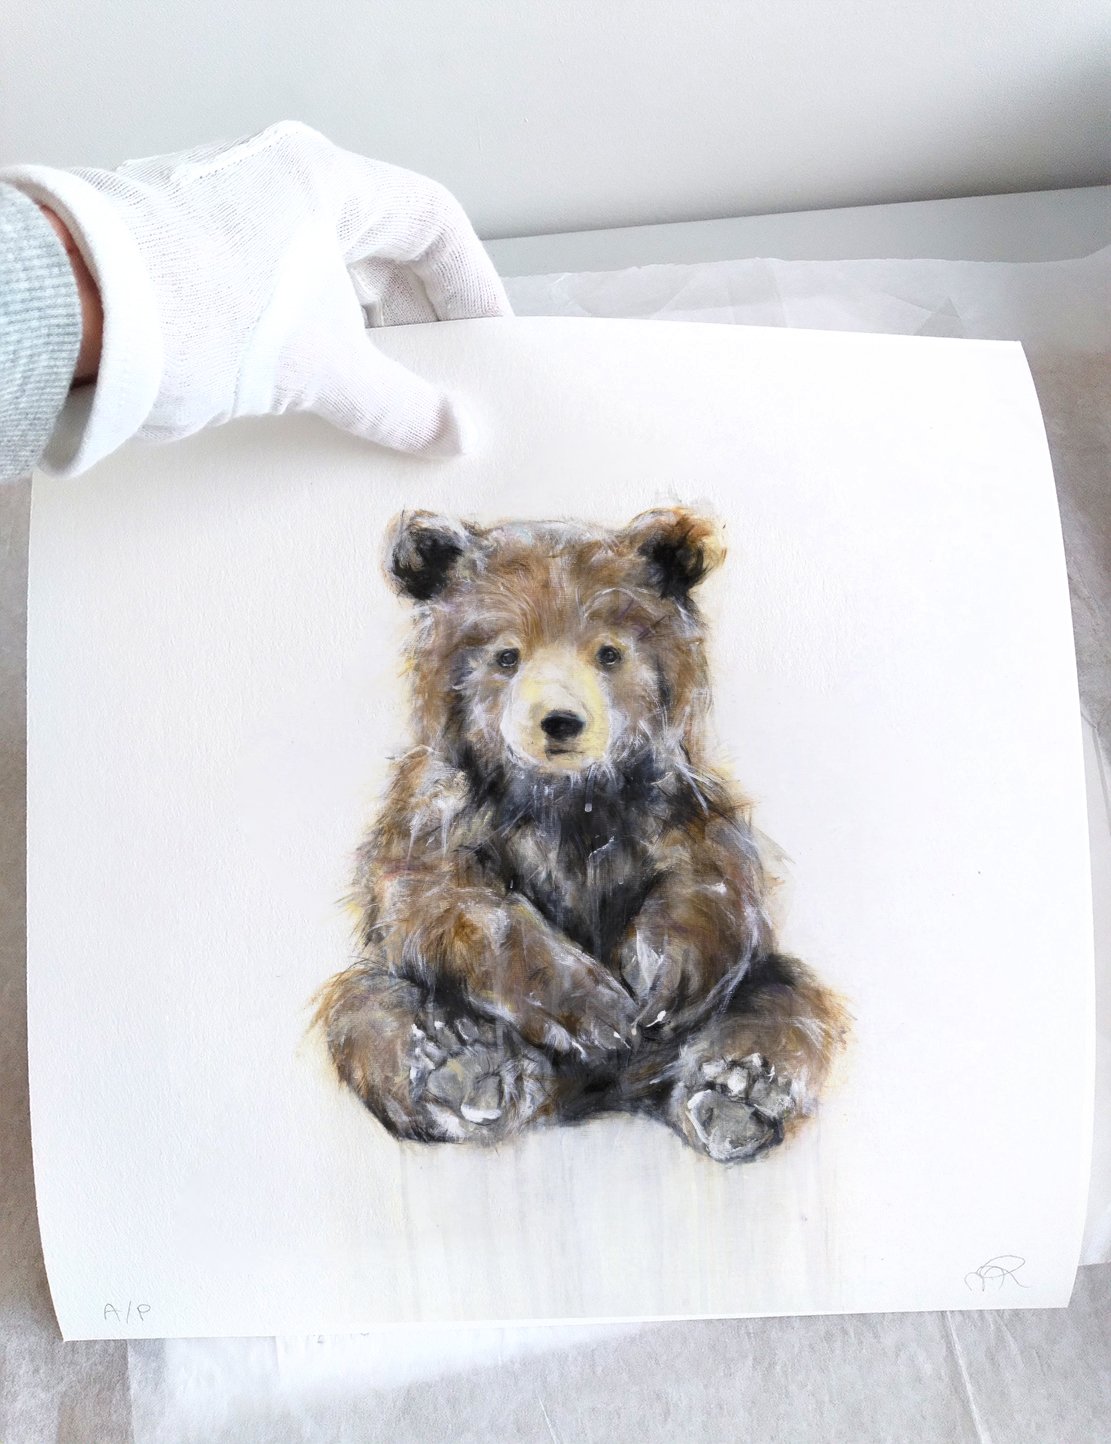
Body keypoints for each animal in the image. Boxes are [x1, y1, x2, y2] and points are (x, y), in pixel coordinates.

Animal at [314, 507, 848, 1163]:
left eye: (609, 652)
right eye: (507, 655)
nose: (560, 721)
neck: (568, 800)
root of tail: (603, 1092)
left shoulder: (670, 808)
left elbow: (714, 885)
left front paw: (658, 977)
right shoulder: (444, 816)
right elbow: (445, 902)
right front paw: (599, 1010)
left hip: (758, 997)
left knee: (788, 997)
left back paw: (738, 1093)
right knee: (362, 1005)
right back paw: (462, 1068)